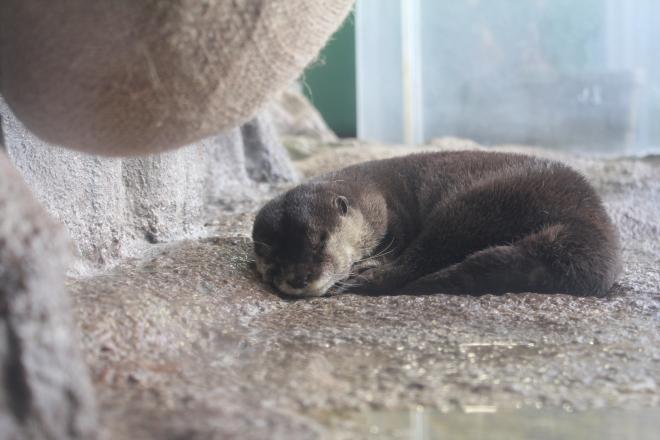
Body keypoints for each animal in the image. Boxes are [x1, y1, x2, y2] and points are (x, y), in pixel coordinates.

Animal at [250, 150, 620, 298]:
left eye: (321, 241)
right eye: (273, 263)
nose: (299, 278)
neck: (376, 194)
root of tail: (589, 216)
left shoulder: (394, 218)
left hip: (480, 204)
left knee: (425, 256)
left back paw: (364, 279)